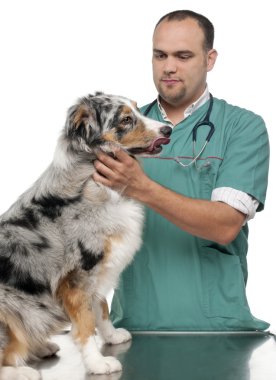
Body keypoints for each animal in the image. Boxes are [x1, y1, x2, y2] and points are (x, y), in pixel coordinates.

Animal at [0, 93, 171, 380]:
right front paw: (97, 364)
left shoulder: (100, 269)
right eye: (126, 119)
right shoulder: (78, 275)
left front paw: (112, 336)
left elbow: (101, 309)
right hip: (10, 308)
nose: (168, 130)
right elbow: (85, 323)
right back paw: (23, 371)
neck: (91, 178)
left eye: (138, 110)